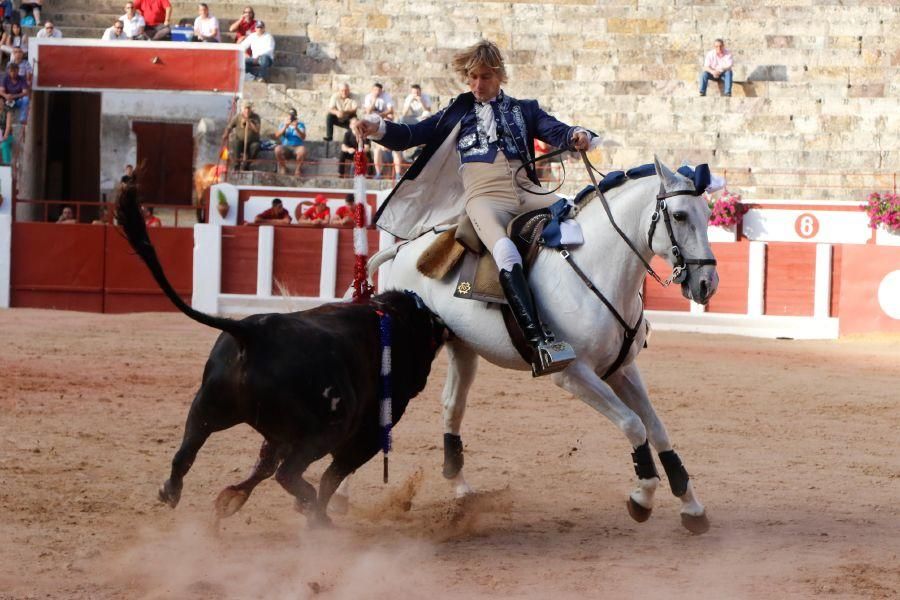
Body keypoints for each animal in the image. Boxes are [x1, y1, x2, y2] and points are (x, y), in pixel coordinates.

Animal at [116, 188, 446, 524]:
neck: (395, 319)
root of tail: (251, 333)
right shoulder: (367, 433)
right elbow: (331, 474)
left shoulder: (277, 433)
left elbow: (264, 464)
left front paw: (231, 498)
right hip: (323, 430)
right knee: (288, 473)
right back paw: (316, 514)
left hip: (207, 406)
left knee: (187, 451)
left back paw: (172, 491)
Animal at [356, 156, 720, 536]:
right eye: (679, 215)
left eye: (709, 214)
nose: (707, 284)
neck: (595, 269)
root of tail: (404, 249)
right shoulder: (572, 374)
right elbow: (634, 424)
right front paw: (642, 498)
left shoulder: (622, 369)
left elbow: (657, 428)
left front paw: (691, 507)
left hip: (462, 348)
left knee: (452, 406)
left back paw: (462, 491)